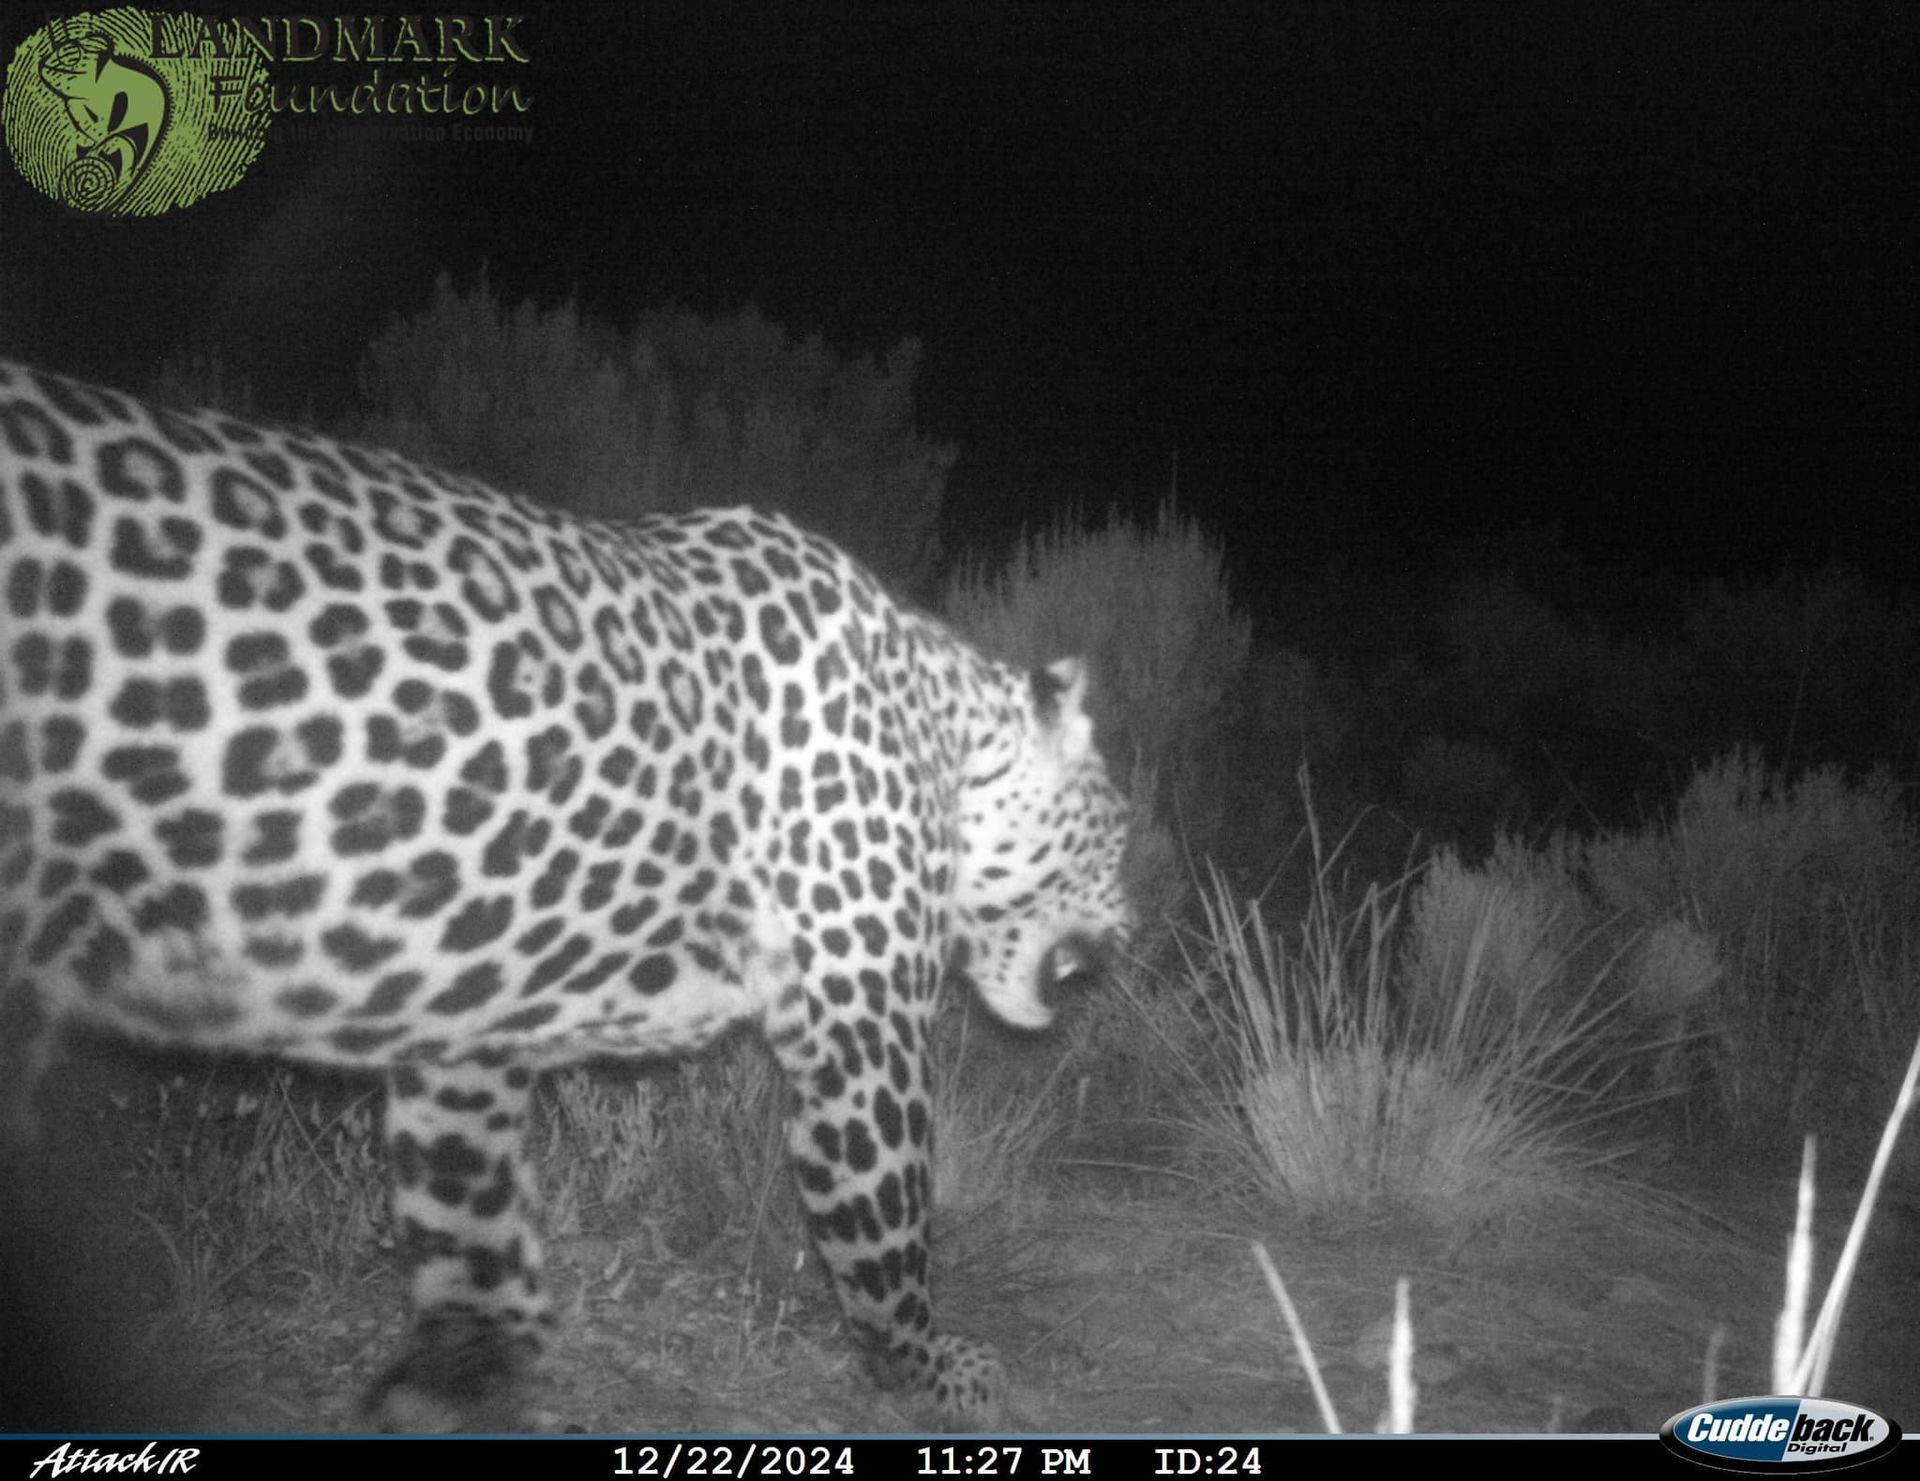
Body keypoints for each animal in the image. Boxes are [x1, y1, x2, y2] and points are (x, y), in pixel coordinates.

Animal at [0, 358, 1133, 1430]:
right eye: (1118, 837)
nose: (1126, 933)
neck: (940, 727)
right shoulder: (860, 1031)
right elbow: (891, 1221)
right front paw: (936, 1373)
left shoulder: (468, 989)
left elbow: (466, 1206)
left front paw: (464, 1374)